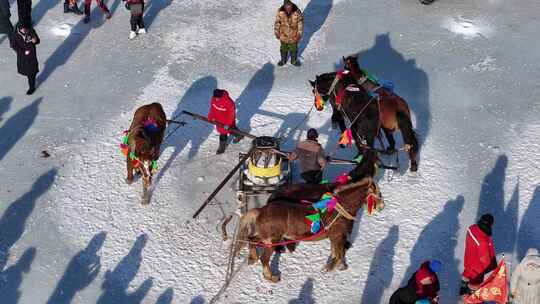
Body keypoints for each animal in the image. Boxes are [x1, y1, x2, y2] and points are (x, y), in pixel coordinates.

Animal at [229, 177, 384, 282]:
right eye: (378, 193)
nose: (382, 206)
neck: (339, 209)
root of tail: (261, 210)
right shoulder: (338, 236)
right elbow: (338, 253)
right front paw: (331, 268)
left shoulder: (336, 237)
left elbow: (337, 252)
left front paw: (339, 266)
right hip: (272, 241)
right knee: (264, 258)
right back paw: (271, 277)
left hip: (266, 238)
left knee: (251, 239)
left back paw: (253, 257)